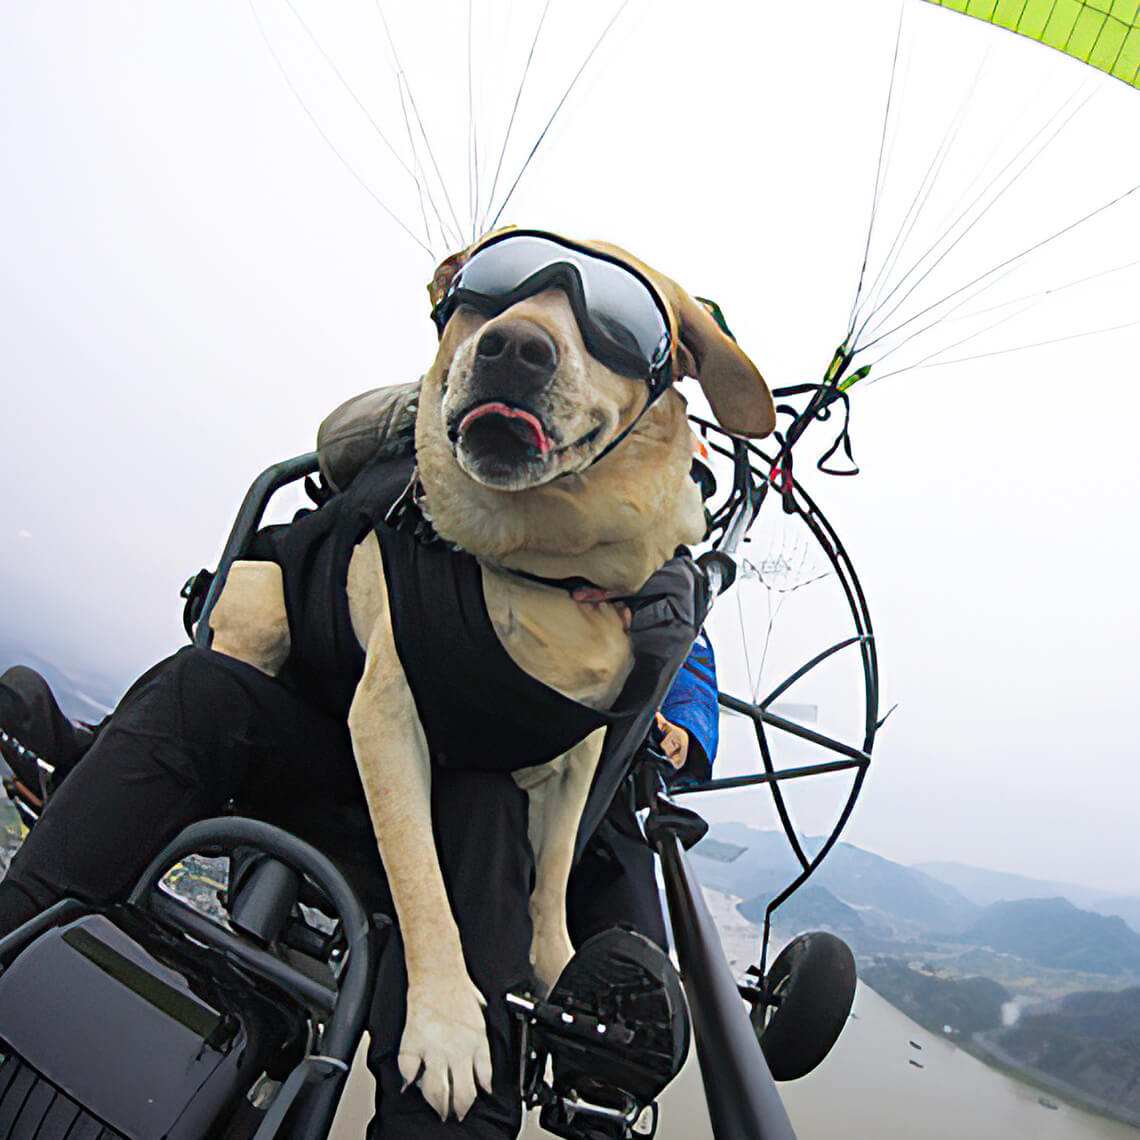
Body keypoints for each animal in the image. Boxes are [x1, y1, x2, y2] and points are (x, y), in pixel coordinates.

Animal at [207, 229, 775, 1121]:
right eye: (489, 288)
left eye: (620, 326)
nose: (515, 346)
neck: (539, 568)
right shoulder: (387, 718)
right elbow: (421, 878)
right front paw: (446, 1026)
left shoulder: (581, 753)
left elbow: (552, 876)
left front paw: (561, 968)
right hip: (258, 613)